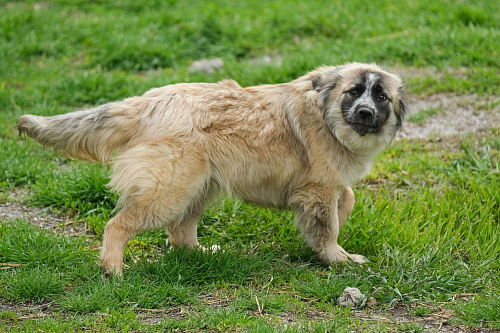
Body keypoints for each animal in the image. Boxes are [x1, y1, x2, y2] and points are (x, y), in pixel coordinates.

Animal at [17, 62, 408, 274]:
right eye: (353, 92)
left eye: (381, 97)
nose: (365, 113)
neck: (327, 117)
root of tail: (148, 101)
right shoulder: (317, 189)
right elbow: (328, 226)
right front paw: (337, 257)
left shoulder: (326, 186)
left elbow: (347, 199)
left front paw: (333, 239)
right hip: (170, 189)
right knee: (119, 224)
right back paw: (113, 268)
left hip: (200, 184)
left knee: (179, 232)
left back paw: (198, 253)